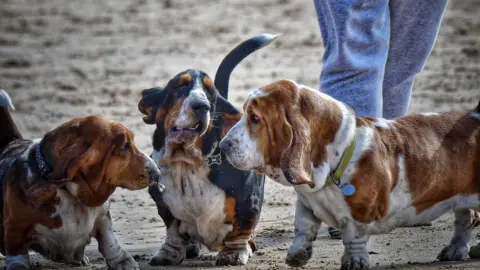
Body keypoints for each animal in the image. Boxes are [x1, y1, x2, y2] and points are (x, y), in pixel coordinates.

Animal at [0, 90, 163, 270]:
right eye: (125, 147)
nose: (157, 172)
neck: (70, 194)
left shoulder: (103, 216)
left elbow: (110, 241)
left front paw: (124, 262)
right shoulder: (15, 227)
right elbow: (17, 253)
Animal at [137, 33, 278, 266]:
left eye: (210, 93)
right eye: (179, 87)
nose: (201, 106)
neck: (187, 161)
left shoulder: (248, 201)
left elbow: (241, 229)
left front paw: (233, 253)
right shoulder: (163, 203)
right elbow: (173, 231)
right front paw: (168, 253)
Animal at [219, 80, 480, 270]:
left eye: (255, 118)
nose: (223, 145)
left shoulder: (359, 212)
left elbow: (353, 236)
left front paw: (354, 262)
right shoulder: (306, 203)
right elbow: (303, 227)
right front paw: (297, 255)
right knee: (466, 219)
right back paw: (455, 250)